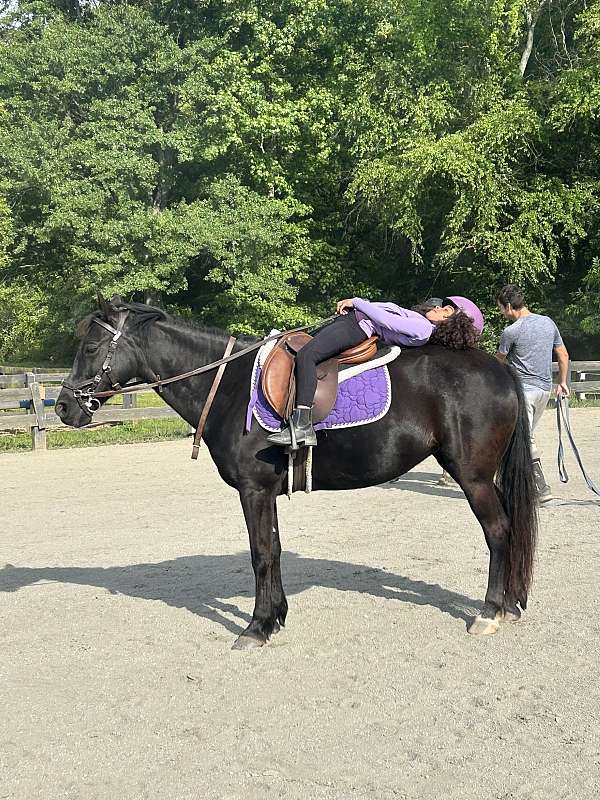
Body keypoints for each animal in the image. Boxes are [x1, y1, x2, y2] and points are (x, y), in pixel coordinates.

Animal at [55, 296, 538, 649]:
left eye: (91, 348)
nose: (62, 407)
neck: (229, 385)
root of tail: (497, 366)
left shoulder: (252, 490)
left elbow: (260, 554)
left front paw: (256, 628)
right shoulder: (265, 491)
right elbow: (274, 549)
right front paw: (275, 617)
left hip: (473, 477)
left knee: (499, 531)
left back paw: (489, 612)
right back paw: (510, 604)